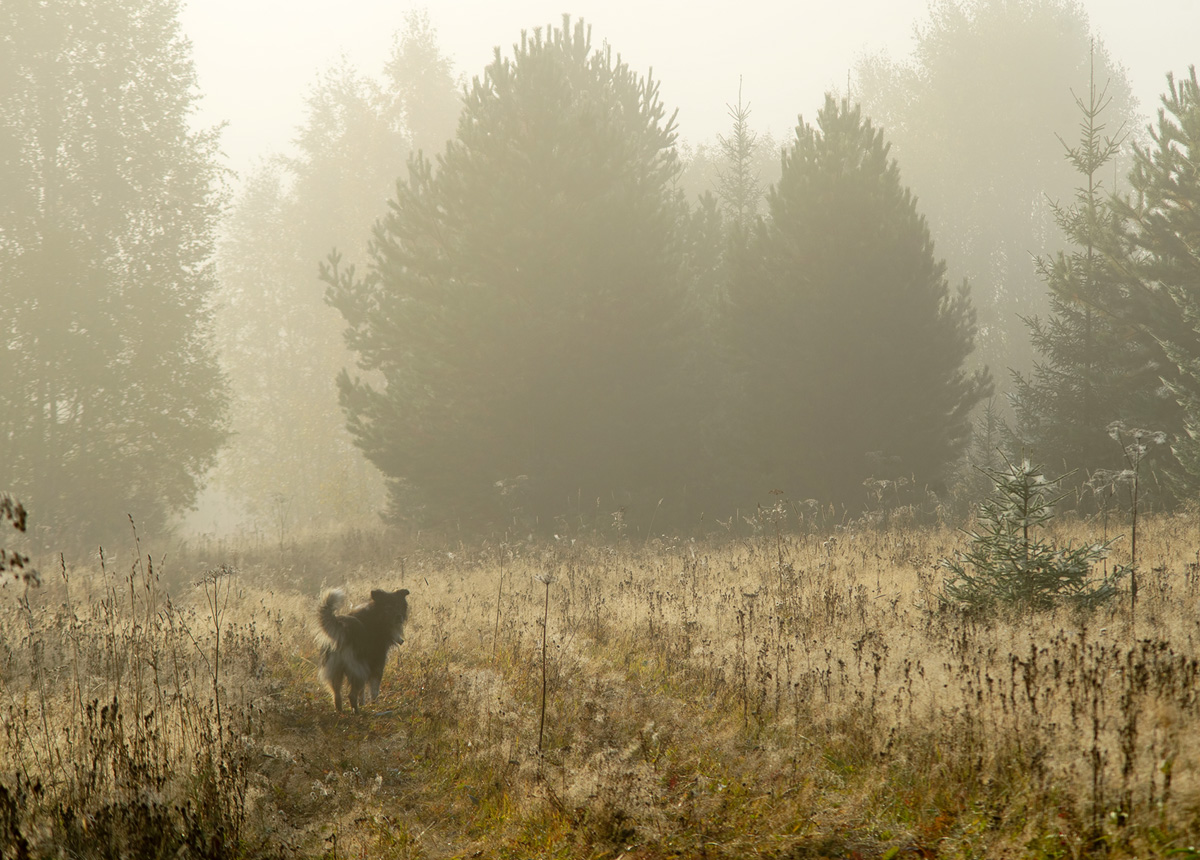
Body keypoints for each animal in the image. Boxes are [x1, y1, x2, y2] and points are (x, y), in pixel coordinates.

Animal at [316, 582, 410, 710]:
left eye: (399, 605)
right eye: (388, 607)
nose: (399, 617)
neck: (376, 614)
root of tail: (343, 630)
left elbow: (362, 693)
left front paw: (363, 704)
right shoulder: (376, 665)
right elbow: (374, 691)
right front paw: (374, 706)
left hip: (336, 670)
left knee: (337, 695)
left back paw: (341, 711)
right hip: (359, 670)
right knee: (351, 695)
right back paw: (357, 711)